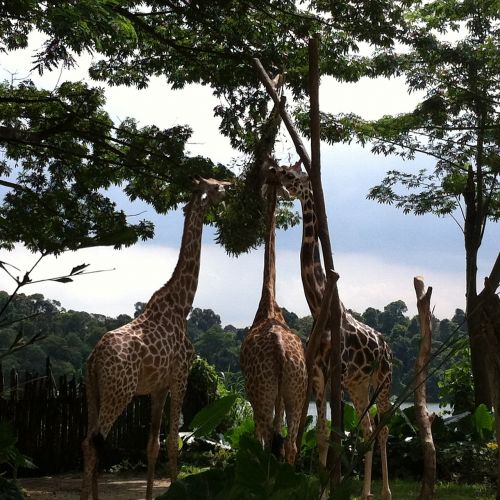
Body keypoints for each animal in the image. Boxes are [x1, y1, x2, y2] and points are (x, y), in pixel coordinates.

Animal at [80, 177, 230, 500]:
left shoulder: (157, 387)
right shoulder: (180, 376)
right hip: (119, 391)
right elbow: (173, 443)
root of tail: (94, 358)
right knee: (94, 441)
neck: (182, 305)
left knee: (89, 441)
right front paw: (177, 490)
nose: (230, 185)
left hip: (93, 392)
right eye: (214, 186)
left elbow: (152, 445)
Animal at [272, 161, 392, 500]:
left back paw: (385, 492)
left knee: (383, 429)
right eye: (283, 170)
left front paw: (330, 489)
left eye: (292, 174)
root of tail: (386, 345)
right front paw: (322, 491)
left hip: (384, 380)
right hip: (358, 385)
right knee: (367, 429)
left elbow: (337, 436)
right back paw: (365, 493)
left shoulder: (336, 374)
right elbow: (324, 436)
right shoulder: (318, 376)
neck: (318, 306)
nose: (274, 173)